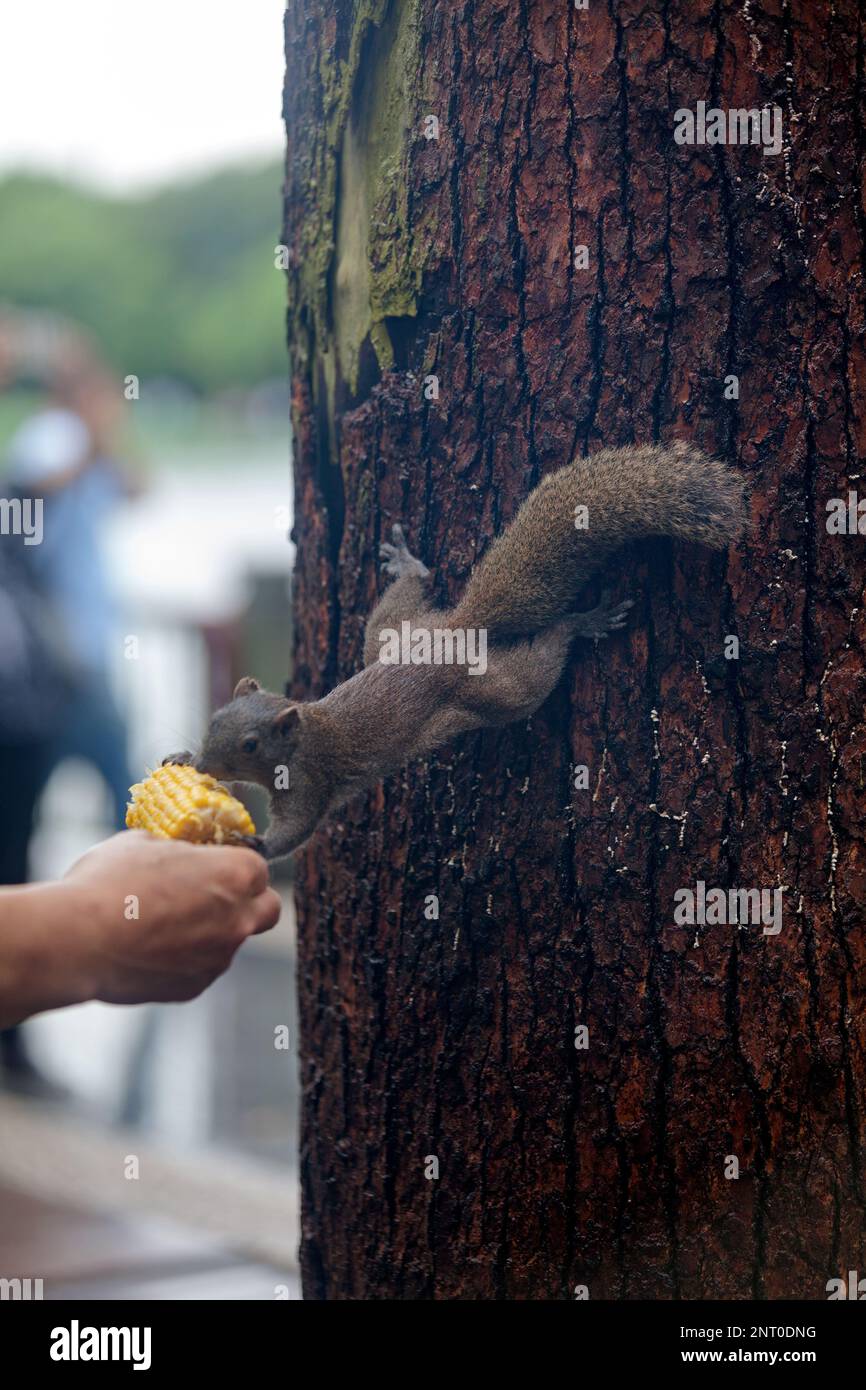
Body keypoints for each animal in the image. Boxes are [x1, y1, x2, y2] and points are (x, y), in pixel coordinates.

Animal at [163, 443, 745, 862]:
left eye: (252, 745)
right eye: (213, 720)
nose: (206, 762)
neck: (302, 736)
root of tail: (457, 631)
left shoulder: (308, 782)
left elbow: (296, 830)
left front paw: (255, 844)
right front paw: (183, 761)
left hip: (495, 689)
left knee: (539, 664)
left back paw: (580, 624)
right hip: (391, 631)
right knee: (409, 592)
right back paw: (406, 561)